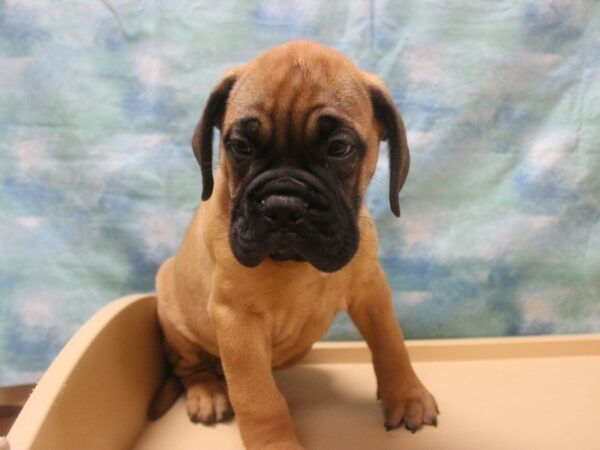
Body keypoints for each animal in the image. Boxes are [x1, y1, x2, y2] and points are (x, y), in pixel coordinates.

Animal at [149, 40, 440, 448]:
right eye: (240, 147)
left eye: (339, 148)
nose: (283, 206)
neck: (295, 265)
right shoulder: (237, 321)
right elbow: (258, 397)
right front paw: (276, 444)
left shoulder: (371, 290)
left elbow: (390, 342)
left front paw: (407, 394)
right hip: (175, 319)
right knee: (188, 366)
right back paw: (207, 391)